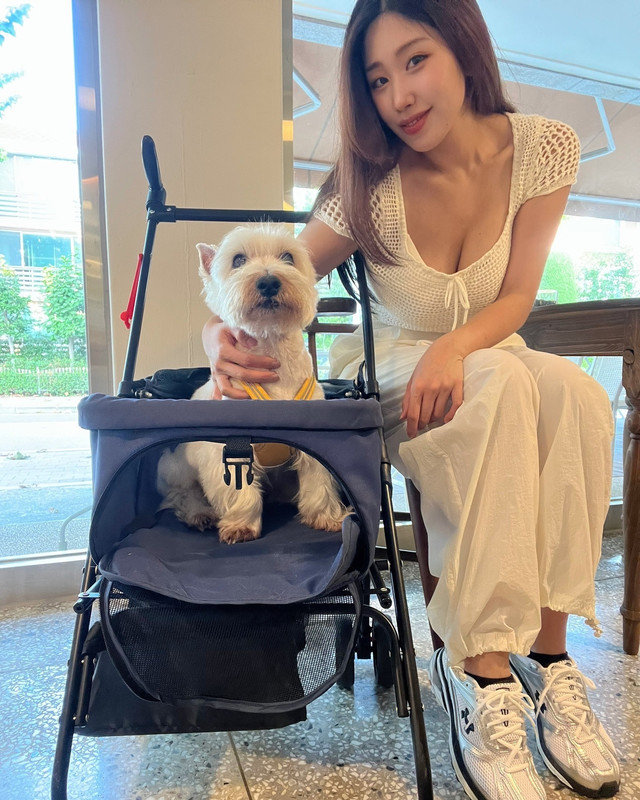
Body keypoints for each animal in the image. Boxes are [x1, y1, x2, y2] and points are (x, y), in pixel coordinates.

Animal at [157, 224, 350, 544]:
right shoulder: (227, 453)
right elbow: (240, 492)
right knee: (180, 494)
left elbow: (319, 481)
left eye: (288, 257)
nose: (269, 282)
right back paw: (200, 514)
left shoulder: (314, 440)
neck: (271, 345)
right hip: (176, 466)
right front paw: (241, 526)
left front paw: (327, 517)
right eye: (238, 260)